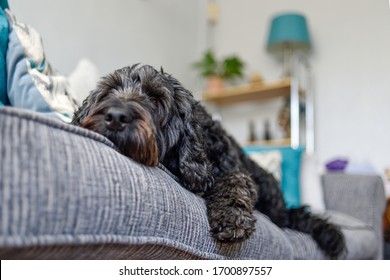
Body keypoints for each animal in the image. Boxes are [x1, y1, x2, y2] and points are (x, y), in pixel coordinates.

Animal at [71, 64, 346, 260]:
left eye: (156, 99)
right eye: (109, 92)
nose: (115, 116)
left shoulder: (233, 169)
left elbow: (235, 181)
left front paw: (231, 217)